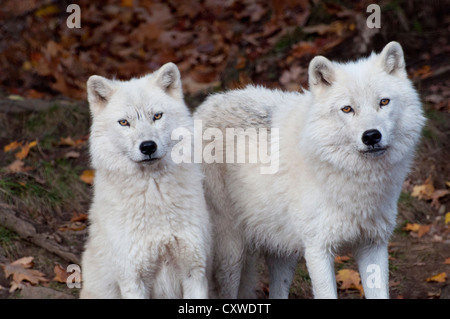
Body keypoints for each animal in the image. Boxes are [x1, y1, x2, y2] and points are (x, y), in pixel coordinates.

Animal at [80, 63, 211, 300]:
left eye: (157, 116)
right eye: (124, 122)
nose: (148, 146)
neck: (154, 194)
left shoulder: (195, 272)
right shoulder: (133, 279)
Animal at [194, 42, 426, 300]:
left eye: (384, 102)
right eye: (347, 109)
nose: (371, 136)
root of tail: (206, 104)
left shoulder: (373, 244)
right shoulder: (317, 249)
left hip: (283, 250)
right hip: (231, 254)